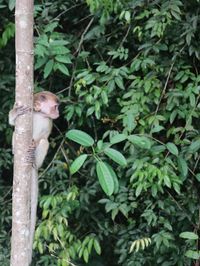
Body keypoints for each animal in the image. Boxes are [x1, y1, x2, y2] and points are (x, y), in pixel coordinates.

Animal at [9, 91, 59, 264]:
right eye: (55, 106)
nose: (58, 113)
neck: (39, 114)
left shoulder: (49, 122)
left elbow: (44, 137)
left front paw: (33, 145)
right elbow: (12, 123)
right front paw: (15, 113)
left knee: (44, 142)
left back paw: (33, 160)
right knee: (15, 133)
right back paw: (16, 151)